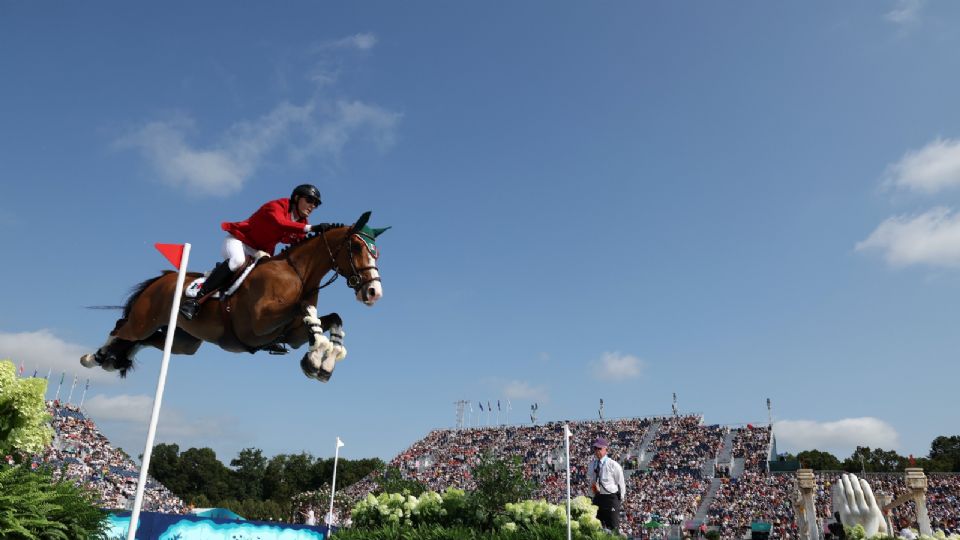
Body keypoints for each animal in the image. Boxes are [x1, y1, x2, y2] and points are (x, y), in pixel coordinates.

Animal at [82, 209, 388, 382]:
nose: (374, 292)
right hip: (144, 319)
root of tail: (164, 277)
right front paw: (316, 359)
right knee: (122, 330)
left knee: (142, 341)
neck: (298, 275)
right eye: (357, 247)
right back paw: (94, 357)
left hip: (183, 342)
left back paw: (112, 360)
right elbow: (304, 311)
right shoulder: (259, 324)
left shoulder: (291, 335)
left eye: (376, 253)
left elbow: (332, 319)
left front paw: (325, 361)